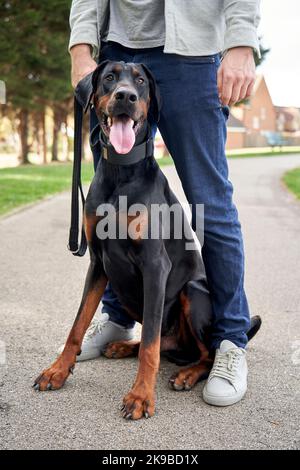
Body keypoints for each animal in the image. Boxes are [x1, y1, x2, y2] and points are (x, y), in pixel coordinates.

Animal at [34, 60, 262, 420]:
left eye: (140, 81)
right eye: (109, 77)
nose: (125, 96)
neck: (121, 173)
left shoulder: (155, 266)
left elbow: (151, 347)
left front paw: (141, 396)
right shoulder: (98, 262)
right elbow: (78, 324)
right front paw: (57, 370)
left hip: (193, 291)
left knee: (202, 351)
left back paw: (187, 374)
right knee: (161, 342)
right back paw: (121, 345)